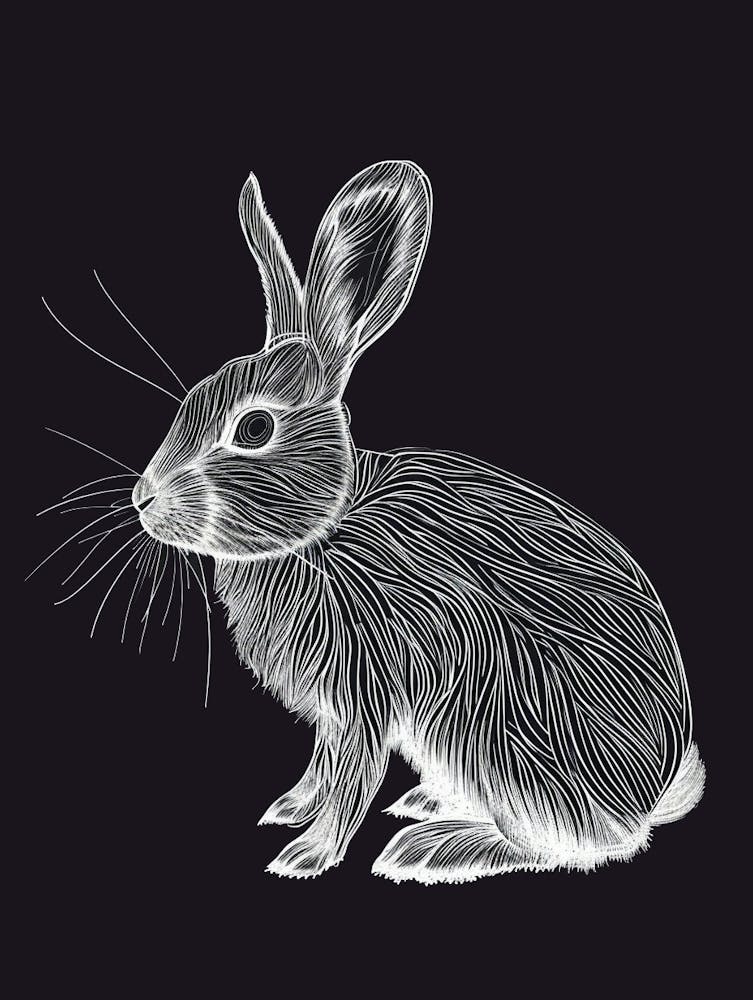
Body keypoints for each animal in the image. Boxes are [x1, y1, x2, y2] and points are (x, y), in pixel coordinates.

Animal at [131, 160, 704, 882]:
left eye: (254, 428)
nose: (143, 500)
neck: (324, 531)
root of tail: (647, 794)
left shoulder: (365, 689)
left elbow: (351, 776)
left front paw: (307, 854)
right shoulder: (331, 711)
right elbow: (321, 763)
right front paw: (289, 807)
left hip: (495, 736)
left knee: (575, 842)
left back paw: (430, 847)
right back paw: (427, 802)